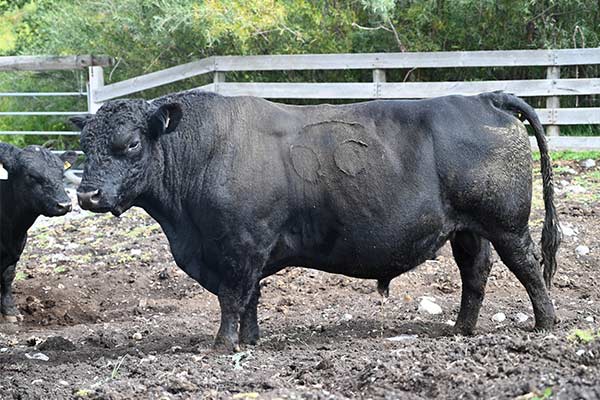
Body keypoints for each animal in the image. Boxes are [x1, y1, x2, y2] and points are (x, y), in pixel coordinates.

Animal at [72, 91, 560, 350]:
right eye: (83, 145)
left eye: (132, 143)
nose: (86, 194)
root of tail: (483, 97)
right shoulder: (243, 252)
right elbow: (250, 298)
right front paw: (250, 341)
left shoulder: (240, 246)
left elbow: (232, 297)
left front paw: (222, 345)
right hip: (467, 231)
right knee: (475, 274)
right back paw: (460, 331)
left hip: (506, 225)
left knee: (529, 267)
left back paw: (545, 324)